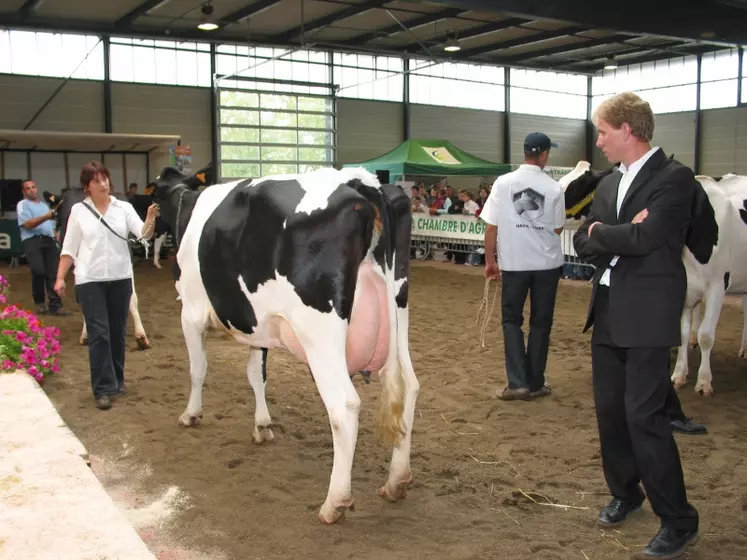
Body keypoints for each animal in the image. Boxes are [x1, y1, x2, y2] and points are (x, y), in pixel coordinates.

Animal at [152, 164, 420, 524]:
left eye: (153, 193)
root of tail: (363, 181)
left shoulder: (190, 312)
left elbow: (198, 369)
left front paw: (191, 415)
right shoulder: (258, 325)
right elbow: (256, 374)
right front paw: (262, 425)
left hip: (319, 331)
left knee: (345, 406)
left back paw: (334, 502)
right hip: (398, 313)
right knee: (409, 387)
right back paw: (396, 482)